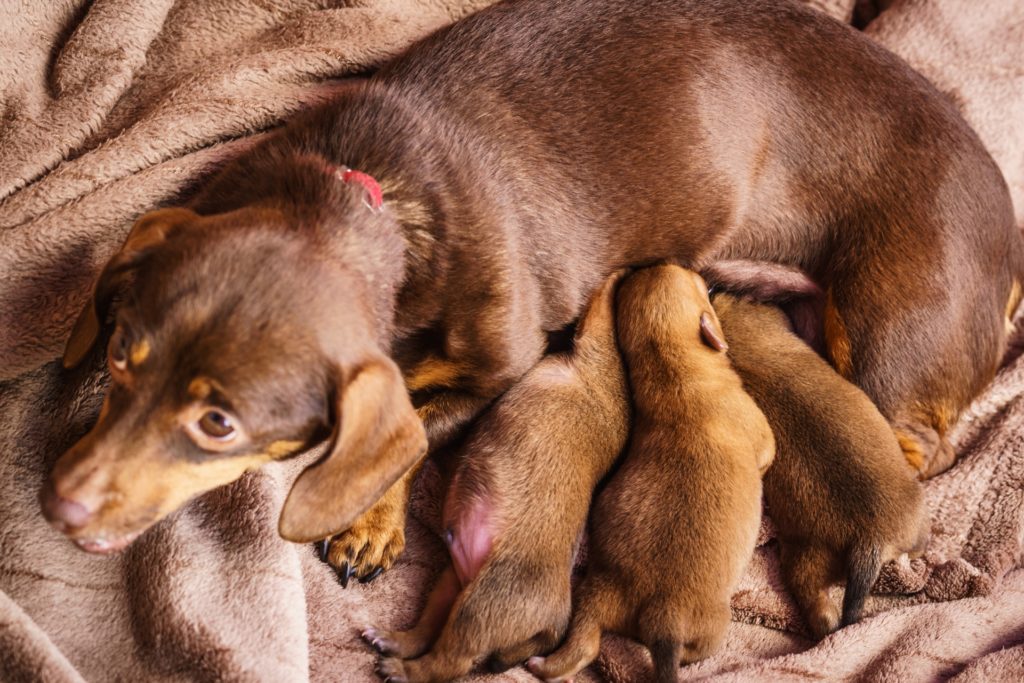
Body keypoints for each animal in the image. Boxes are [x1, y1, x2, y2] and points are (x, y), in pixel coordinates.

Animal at [49, 0, 1024, 577]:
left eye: (219, 423)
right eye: (122, 357)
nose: (57, 501)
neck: (373, 197)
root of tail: (1011, 234)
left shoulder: (504, 366)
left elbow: (415, 430)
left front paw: (371, 518)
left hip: (891, 334)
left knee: (909, 447)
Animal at [364, 272, 626, 683]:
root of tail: (555, 621)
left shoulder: (594, 339)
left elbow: (603, 300)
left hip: (480, 606)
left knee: (449, 661)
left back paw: (400, 668)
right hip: (452, 587)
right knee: (430, 633)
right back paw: (393, 641)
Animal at [528, 266, 774, 683]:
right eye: (698, 285)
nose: (706, 276)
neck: (673, 372)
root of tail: (660, 614)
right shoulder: (762, 436)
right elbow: (768, 455)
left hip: (592, 599)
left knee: (583, 645)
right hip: (715, 623)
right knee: (698, 652)